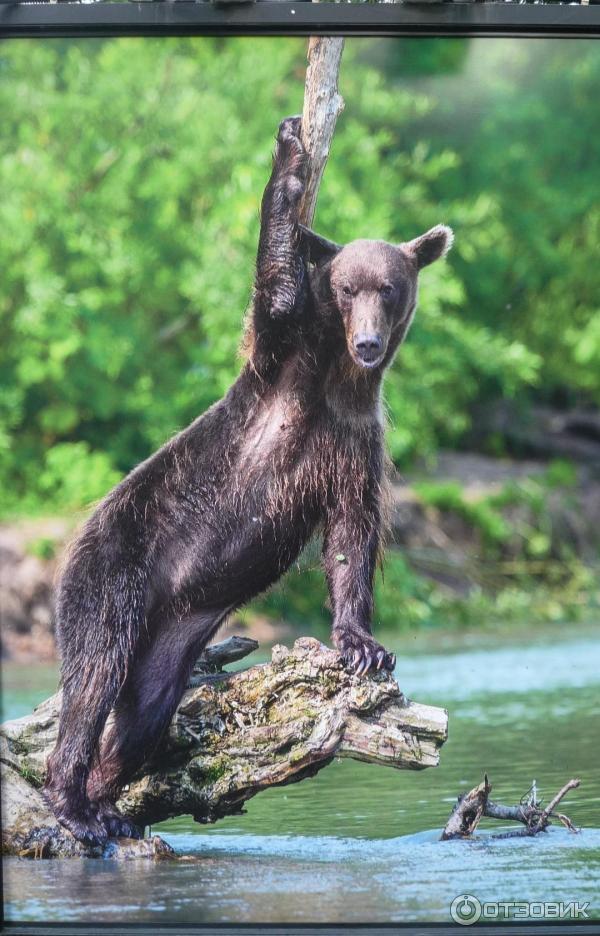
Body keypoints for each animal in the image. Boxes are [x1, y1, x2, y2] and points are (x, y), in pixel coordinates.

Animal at [42, 113, 452, 844]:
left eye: (390, 288)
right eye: (348, 288)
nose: (369, 343)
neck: (335, 379)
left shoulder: (353, 441)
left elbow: (352, 534)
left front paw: (364, 646)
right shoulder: (283, 363)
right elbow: (277, 287)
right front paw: (289, 151)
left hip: (173, 636)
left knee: (143, 712)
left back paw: (109, 801)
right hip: (115, 565)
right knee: (94, 673)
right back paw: (74, 805)